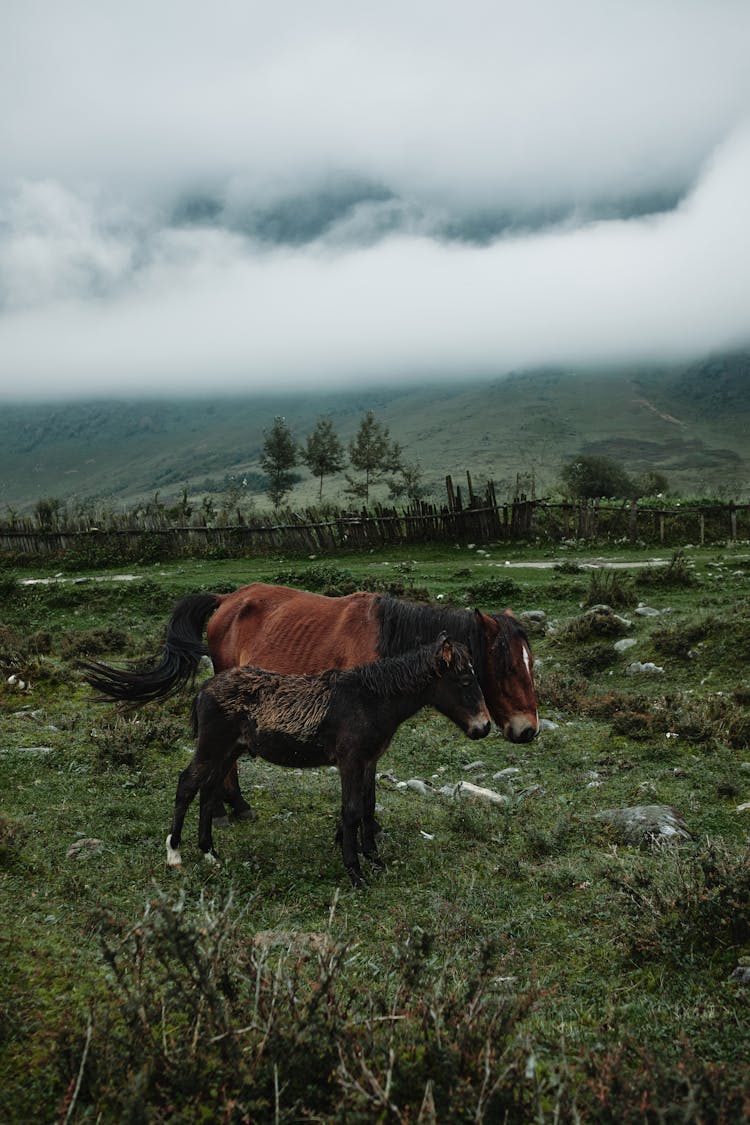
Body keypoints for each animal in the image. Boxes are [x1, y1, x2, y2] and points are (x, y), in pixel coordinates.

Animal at [165, 634, 492, 886]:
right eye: (465, 681)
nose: (484, 726)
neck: (371, 700)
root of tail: (204, 688)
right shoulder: (350, 760)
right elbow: (351, 811)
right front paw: (355, 872)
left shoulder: (369, 761)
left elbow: (368, 806)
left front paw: (375, 860)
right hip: (212, 746)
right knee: (187, 784)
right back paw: (174, 855)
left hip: (229, 750)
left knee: (208, 790)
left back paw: (210, 854)